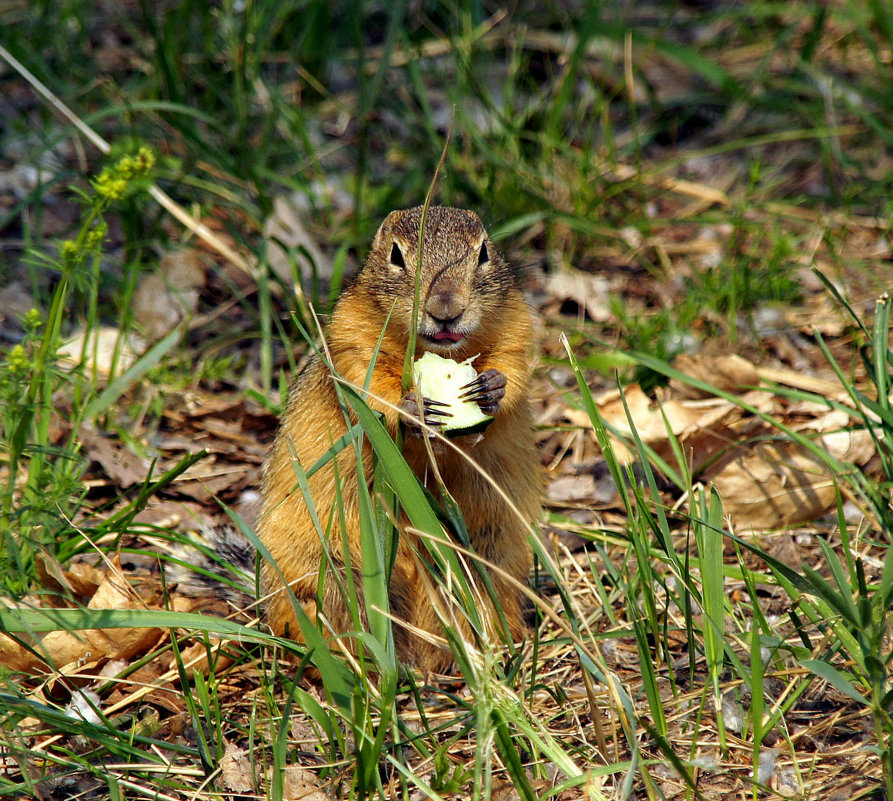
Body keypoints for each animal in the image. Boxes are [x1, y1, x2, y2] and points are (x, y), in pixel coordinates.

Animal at [254, 206, 540, 668]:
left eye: (483, 252)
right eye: (396, 256)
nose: (446, 309)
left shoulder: (515, 328)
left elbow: (513, 367)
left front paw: (492, 387)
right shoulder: (352, 337)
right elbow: (368, 385)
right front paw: (414, 409)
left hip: (486, 558)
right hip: (332, 572)